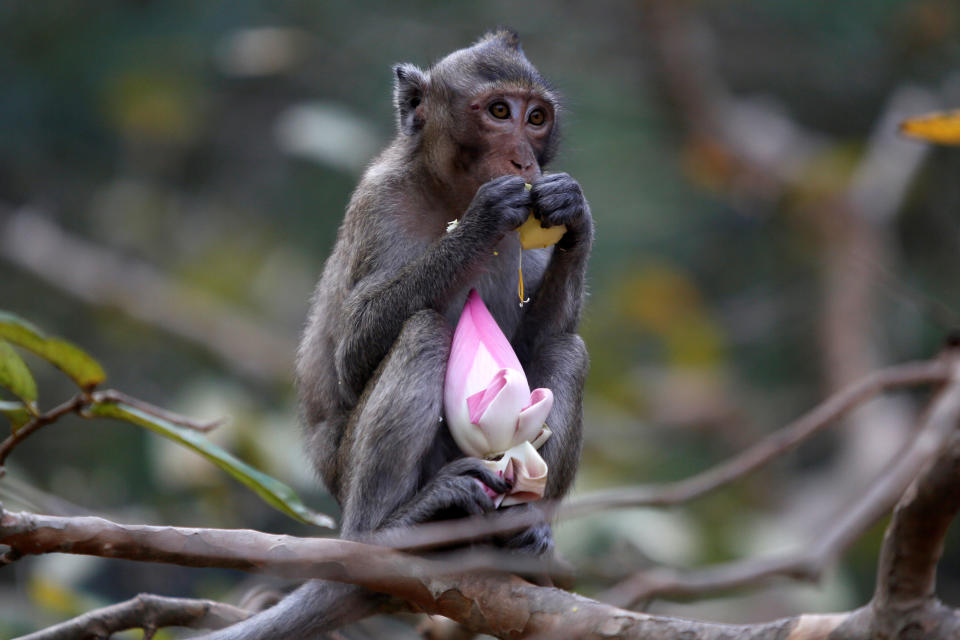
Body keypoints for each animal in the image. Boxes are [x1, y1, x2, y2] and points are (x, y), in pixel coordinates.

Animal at [199, 30, 592, 640]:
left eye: (536, 118)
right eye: (499, 112)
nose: (524, 159)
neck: (449, 192)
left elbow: (536, 344)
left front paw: (574, 211)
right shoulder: (378, 202)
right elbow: (352, 355)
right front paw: (480, 223)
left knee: (565, 350)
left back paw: (519, 536)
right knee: (423, 332)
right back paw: (394, 532)